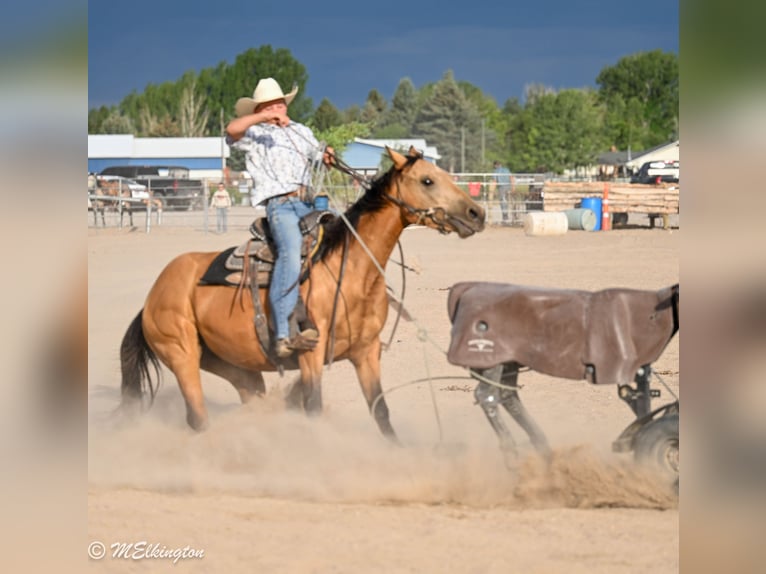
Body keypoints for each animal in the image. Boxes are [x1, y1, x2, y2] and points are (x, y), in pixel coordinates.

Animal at [119, 146, 486, 439]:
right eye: (427, 181)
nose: (477, 213)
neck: (349, 273)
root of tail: (152, 296)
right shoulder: (312, 354)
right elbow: (313, 408)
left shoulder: (366, 352)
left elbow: (380, 411)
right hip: (181, 354)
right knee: (198, 417)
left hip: (235, 365)